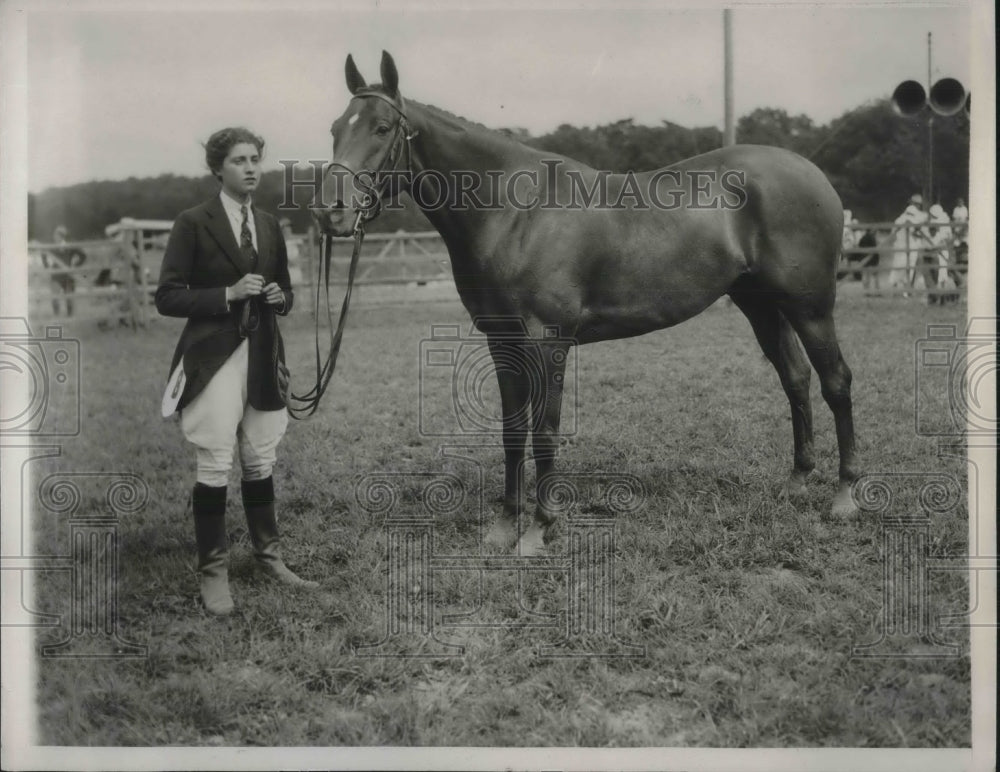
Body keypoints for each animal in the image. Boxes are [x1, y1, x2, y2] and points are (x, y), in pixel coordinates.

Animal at [314, 49, 860, 556]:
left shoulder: (548, 342)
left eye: (382, 127)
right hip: (760, 305)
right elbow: (513, 432)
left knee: (835, 380)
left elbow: (545, 432)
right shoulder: (501, 341)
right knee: (795, 378)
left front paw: (539, 530)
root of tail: (812, 174)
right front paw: (503, 528)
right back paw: (796, 482)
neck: (516, 213)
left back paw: (845, 495)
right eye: (335, 128)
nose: (331, 214)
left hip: (810, 308)